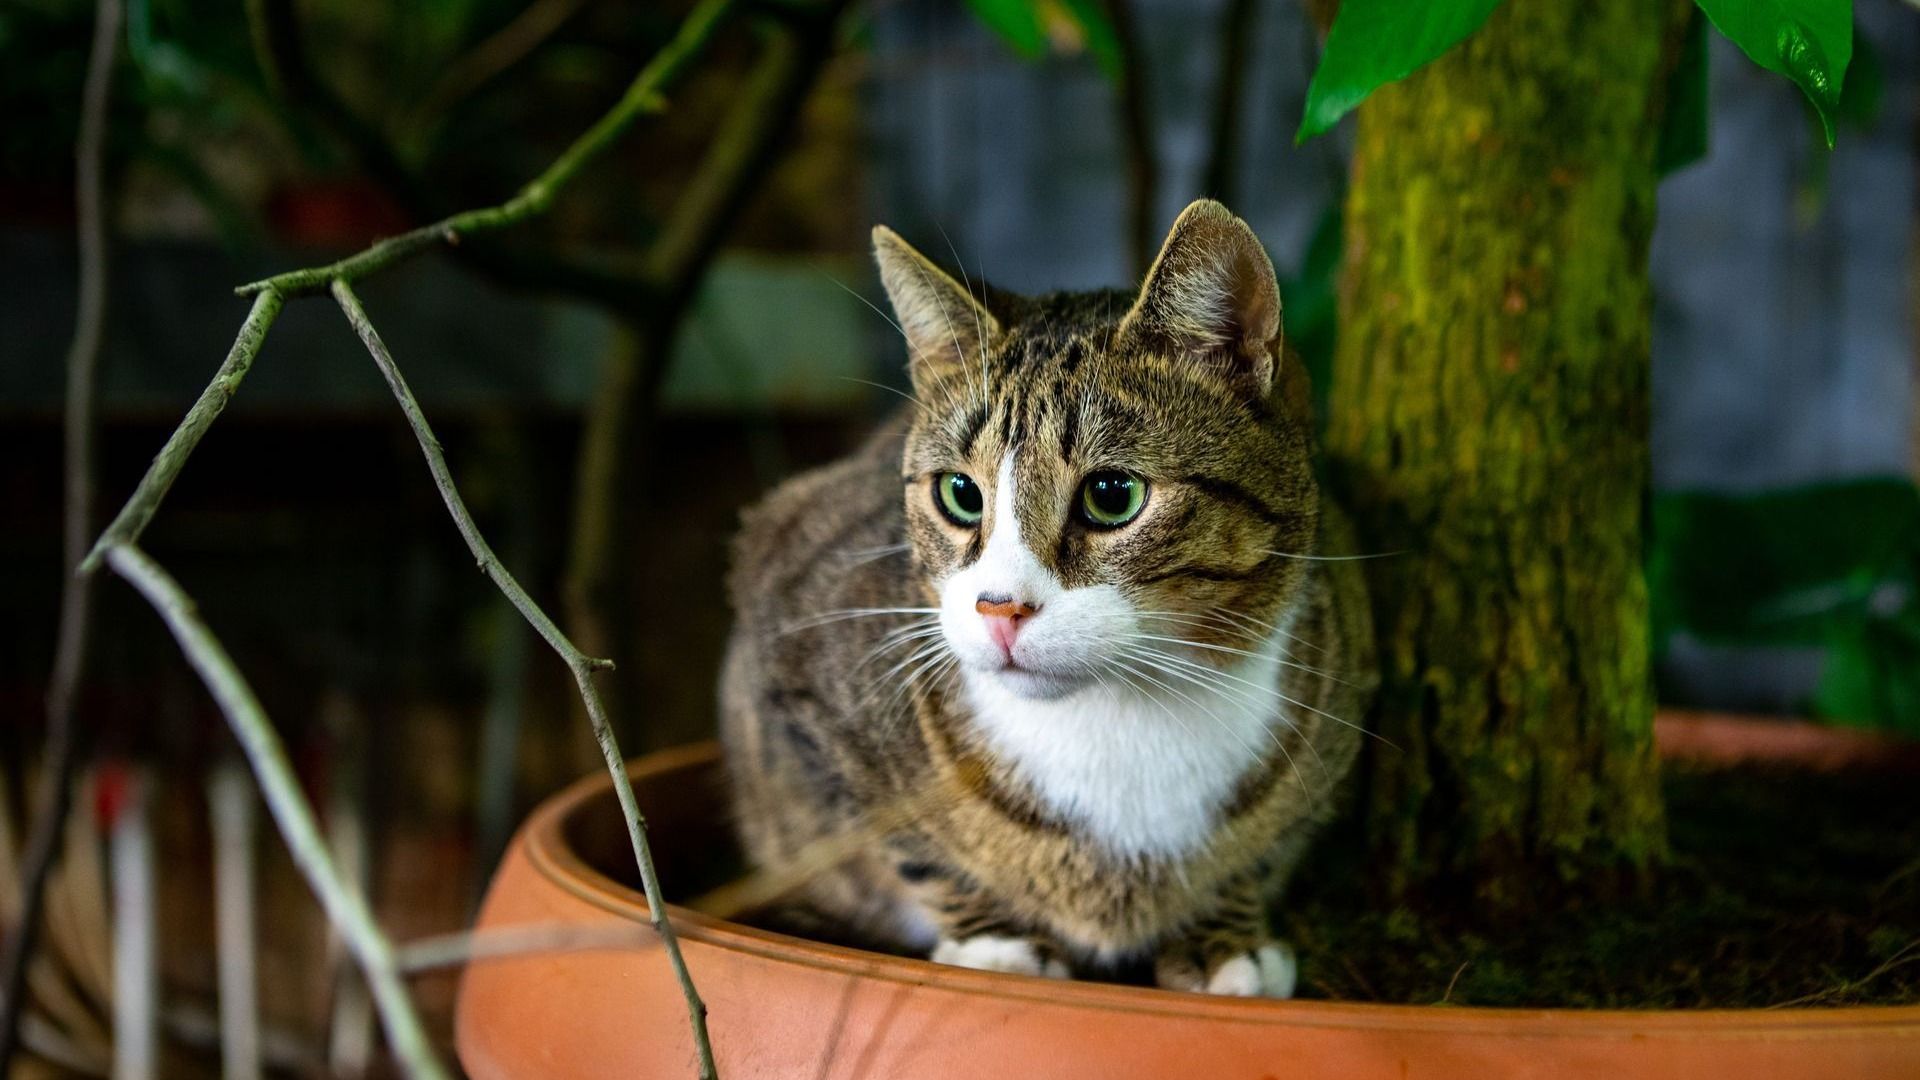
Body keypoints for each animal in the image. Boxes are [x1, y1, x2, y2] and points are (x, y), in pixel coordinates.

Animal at [721, 199, 1382, 991]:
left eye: (1112, 495)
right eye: (959, 493)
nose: (1000, 609)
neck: (1124, 716)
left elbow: (1269, 846)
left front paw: (1225, 939)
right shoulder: (798, 659)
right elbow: (908, 843)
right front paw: (996, 945)